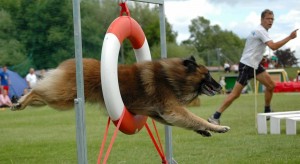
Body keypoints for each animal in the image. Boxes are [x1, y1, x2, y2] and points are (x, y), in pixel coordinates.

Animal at [11, 56, 230, 136]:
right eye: (208, 75)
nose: (220, 86)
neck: (173, 76)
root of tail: (71, 62)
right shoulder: (172, 109)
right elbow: (195, 117)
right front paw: (218, 127)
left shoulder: (159, 114)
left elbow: (187, 121)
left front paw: (204, 131)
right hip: (63, 98)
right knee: (37, 90)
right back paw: (19, 101)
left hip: (59, 99)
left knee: (38, 94)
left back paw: (18, 104)